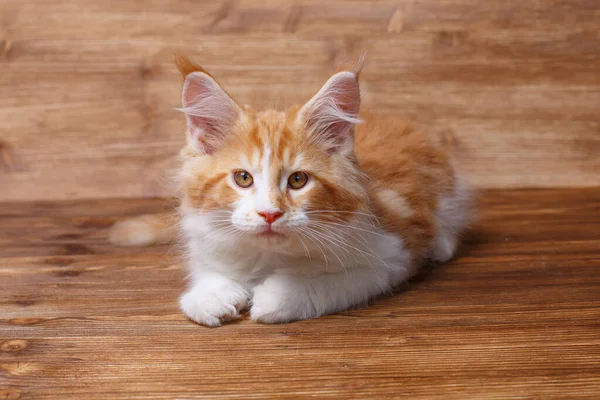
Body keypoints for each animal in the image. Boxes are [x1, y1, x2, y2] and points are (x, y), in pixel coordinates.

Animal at [110, 55, 472, 324]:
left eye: (298, 180)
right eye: (243, 178)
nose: (269, 213)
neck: (266, 256)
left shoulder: (389, 256)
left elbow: (324, 283)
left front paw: (277, 296)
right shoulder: (204, 238)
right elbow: (209, 272)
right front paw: (211, 294)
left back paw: (440, 245)